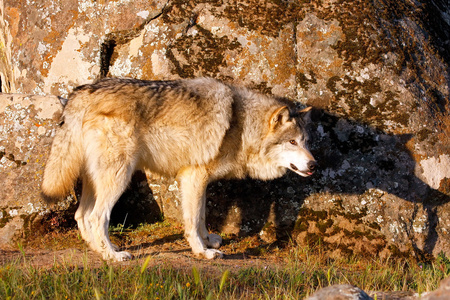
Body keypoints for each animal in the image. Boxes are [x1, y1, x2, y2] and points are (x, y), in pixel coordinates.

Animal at [41, 77, 316, 260]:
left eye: (305, 142)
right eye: (292, 142)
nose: (314, 164)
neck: (241, 124)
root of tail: (81, 92)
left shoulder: (197, 181)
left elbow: (202, 216)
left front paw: (209, 241)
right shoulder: (193, 176)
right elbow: (192, 220)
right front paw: (203, 251)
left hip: (95, 180)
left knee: (81, 215)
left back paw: (99, 250)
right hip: (119, 178)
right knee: (96, 217)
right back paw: (113, 256)